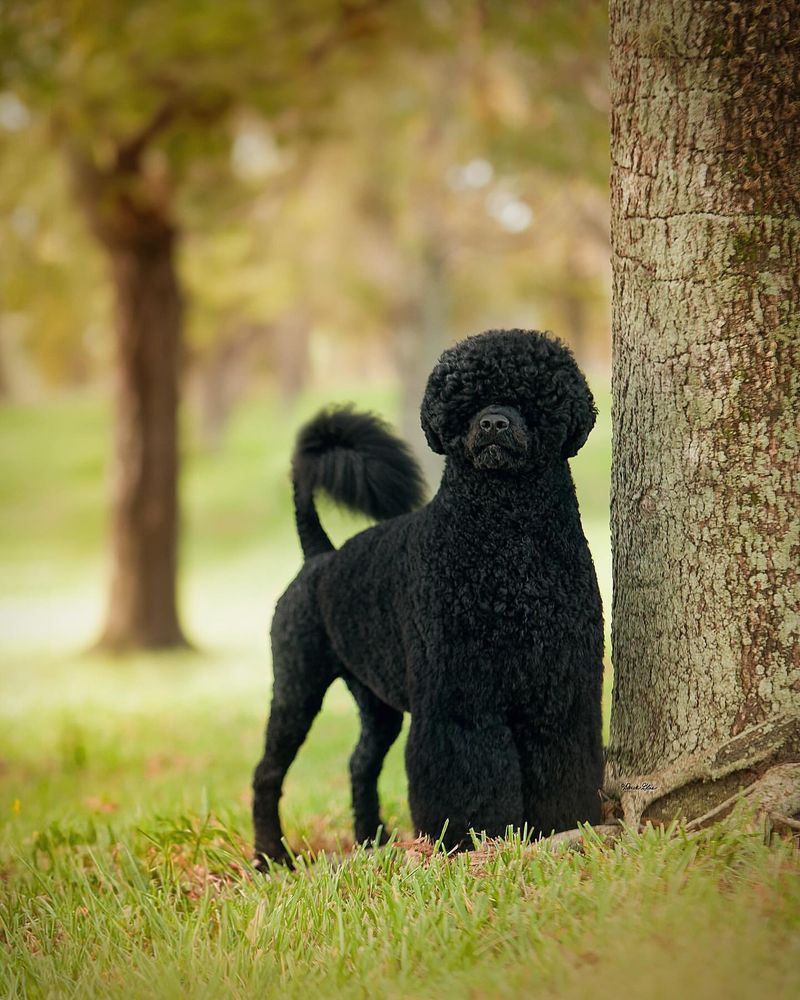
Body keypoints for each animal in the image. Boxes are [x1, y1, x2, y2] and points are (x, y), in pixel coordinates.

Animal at [253, 330, 604, 868]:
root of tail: (319, 556)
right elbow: (464, 771)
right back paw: (271, 856)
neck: (511, 546)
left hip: (374, 700)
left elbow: (562, 763)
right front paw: (472, 840)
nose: (493, 422)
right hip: (297, 683)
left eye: (530, 396)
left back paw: (371, 839)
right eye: (466, 399)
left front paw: (562, 826)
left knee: (360, 763)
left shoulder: (559, 692)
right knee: (268, 774)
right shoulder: (458, 695)